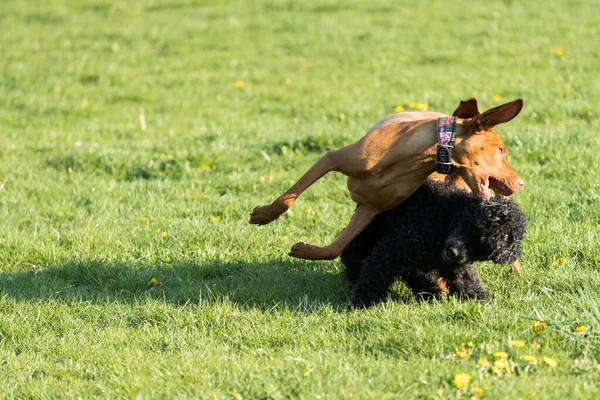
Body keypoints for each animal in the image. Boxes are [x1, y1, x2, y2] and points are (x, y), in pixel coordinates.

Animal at [251, 97, 524, 260]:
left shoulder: (371, 207)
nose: (521, 183)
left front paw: (306, 250)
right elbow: (288, 198)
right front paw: (265, 215)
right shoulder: (332, 159)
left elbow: (336, 248)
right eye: (500, 149)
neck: (412, 159)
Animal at [340, 180, 528, 308]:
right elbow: (374, 274)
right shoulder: (394, 249)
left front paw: (482, 300)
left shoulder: (452, 264)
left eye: (483, 249)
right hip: (366, 233)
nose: (454, 253)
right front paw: (361, 304)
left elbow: (466, 280)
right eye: (472, 227)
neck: (445, 218)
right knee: (352, 254)